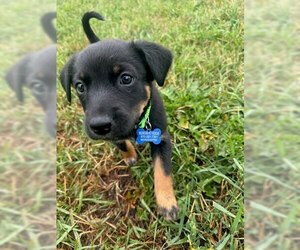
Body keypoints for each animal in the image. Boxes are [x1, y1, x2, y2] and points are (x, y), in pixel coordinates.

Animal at [60, 11, 178, 220]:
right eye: (80, 87)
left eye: (126, 78)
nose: (99, 126)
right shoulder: (114, 135)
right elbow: (121, 143)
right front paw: (129, 155)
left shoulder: (161, 137)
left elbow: (162, 171)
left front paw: (167, 203)